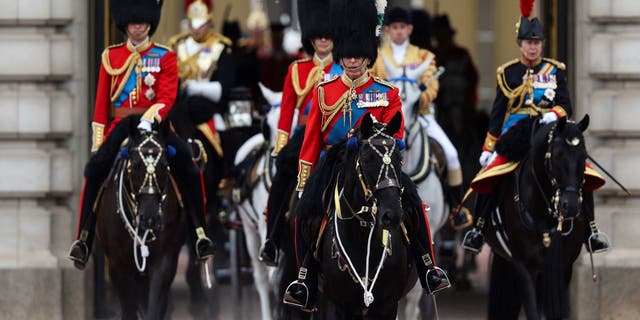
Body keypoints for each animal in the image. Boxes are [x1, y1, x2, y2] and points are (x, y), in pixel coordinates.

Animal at [95, 121, 185, 318]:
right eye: (135, 165)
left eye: (163, 165)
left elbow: (154, 310)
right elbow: (129, 311)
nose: (149, 218)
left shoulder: (164, 261)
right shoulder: (118, 266)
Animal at [296, 112, 418, 318]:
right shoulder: (336, 305)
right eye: (367, 158)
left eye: (400, 159)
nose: (392, 214)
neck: (362, 234)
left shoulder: (388, 305)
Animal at [484, 115, 592, 320]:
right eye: (557, 155)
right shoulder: (524, 266)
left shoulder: (563, 266)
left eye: (584, 157)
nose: (571, 206)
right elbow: (533, 312)